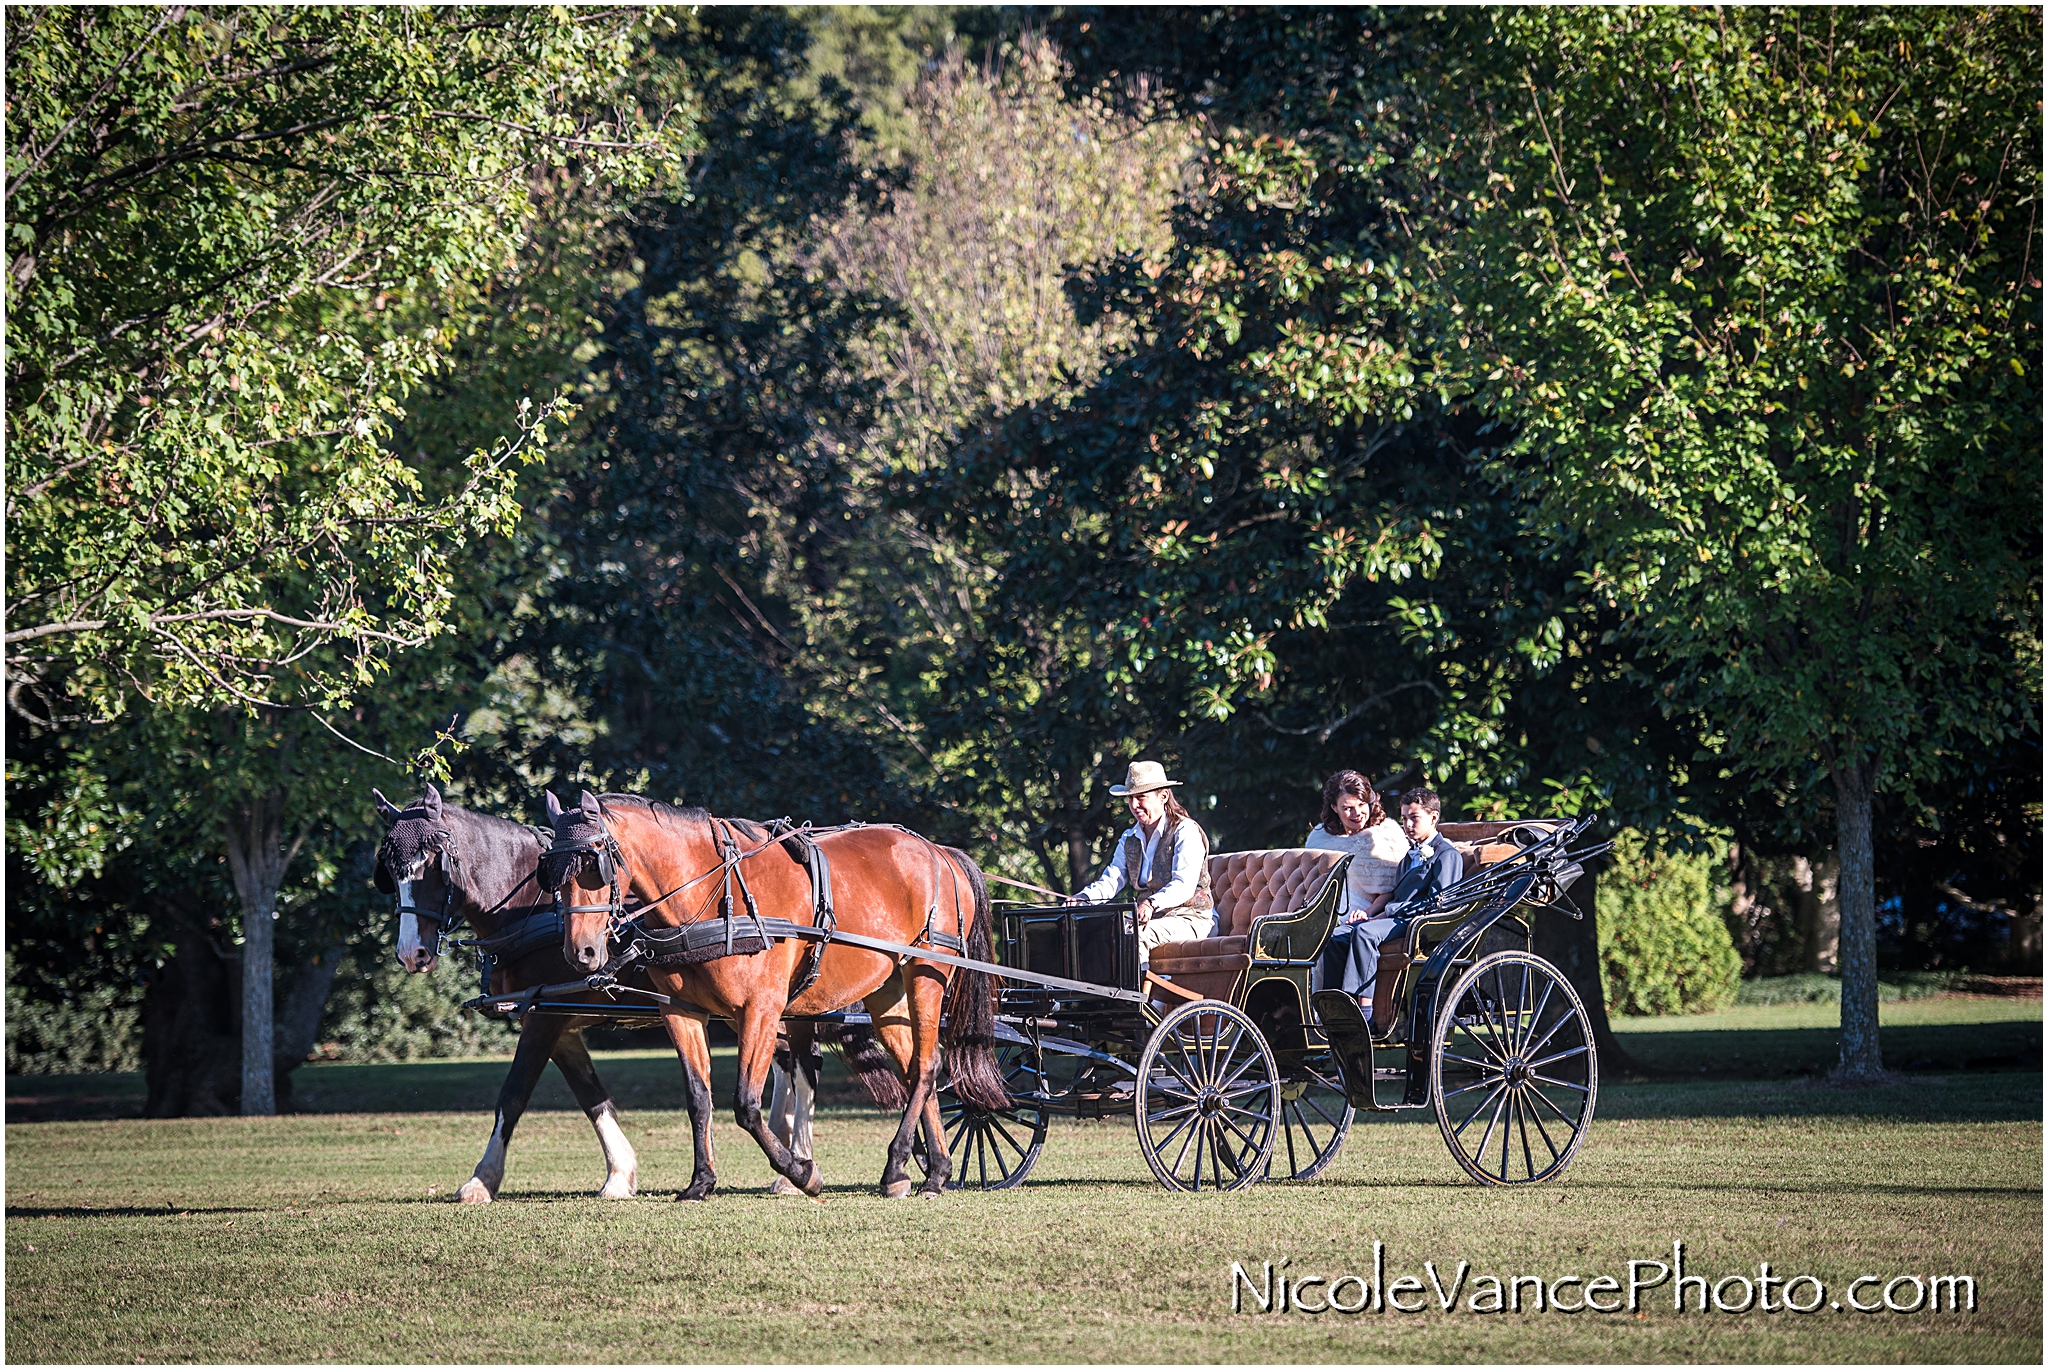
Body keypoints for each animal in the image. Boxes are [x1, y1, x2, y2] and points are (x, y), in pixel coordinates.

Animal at [536, 790, 999, 1195]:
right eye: (551, 876)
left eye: (593, 866)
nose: (581, 952)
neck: (710, 894)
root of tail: (940, 852)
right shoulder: (681, 1012)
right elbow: (698, 1098)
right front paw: (701, 1181)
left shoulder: (760, 1009)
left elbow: (745, 1103)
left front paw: (801, 1172)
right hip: (886, 990)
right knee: (919, 1066)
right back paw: (934, 1171)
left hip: (926, 974)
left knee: (925, 1067)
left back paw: (898, 1165)